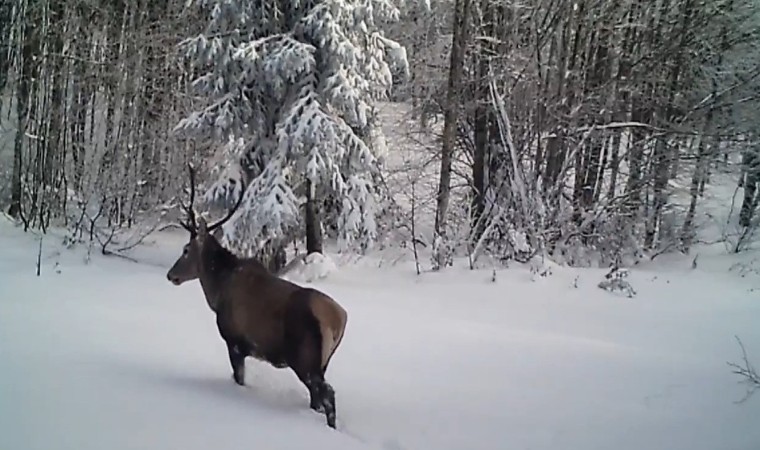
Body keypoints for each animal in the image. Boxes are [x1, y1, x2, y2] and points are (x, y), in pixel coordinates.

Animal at [168, 166, 348, 428]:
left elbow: (239, 378)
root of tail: (339, 319)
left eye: (186, 250)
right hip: (323, 361)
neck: (216, 293)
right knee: (317, 399)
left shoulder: (234, 340)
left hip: (306, 359)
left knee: (328, 395)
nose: (171, 275)